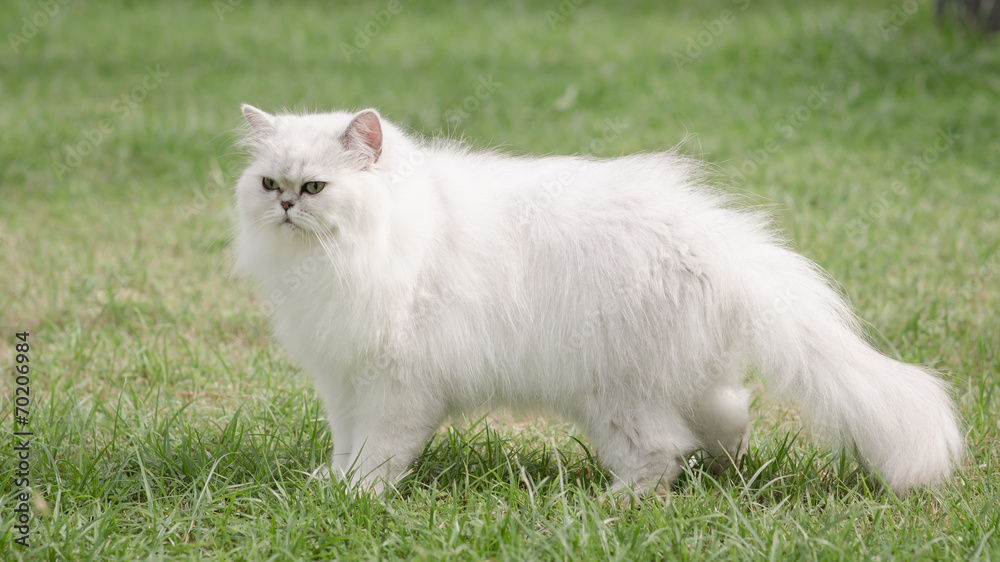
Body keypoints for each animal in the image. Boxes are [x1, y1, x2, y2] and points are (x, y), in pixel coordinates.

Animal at [232, 104, 960, 494]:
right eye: (269, 183)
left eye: (317, 188)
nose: (287, 205)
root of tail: (721, 244)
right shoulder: (344, 381)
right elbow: (344, 446)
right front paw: (331, 487)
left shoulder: (395, 387)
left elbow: (377, 455)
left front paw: (360, 496)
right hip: (682, 378)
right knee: (731, 416)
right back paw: (721, 470)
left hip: (615, 396)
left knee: (660, 453)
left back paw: (616, 503)